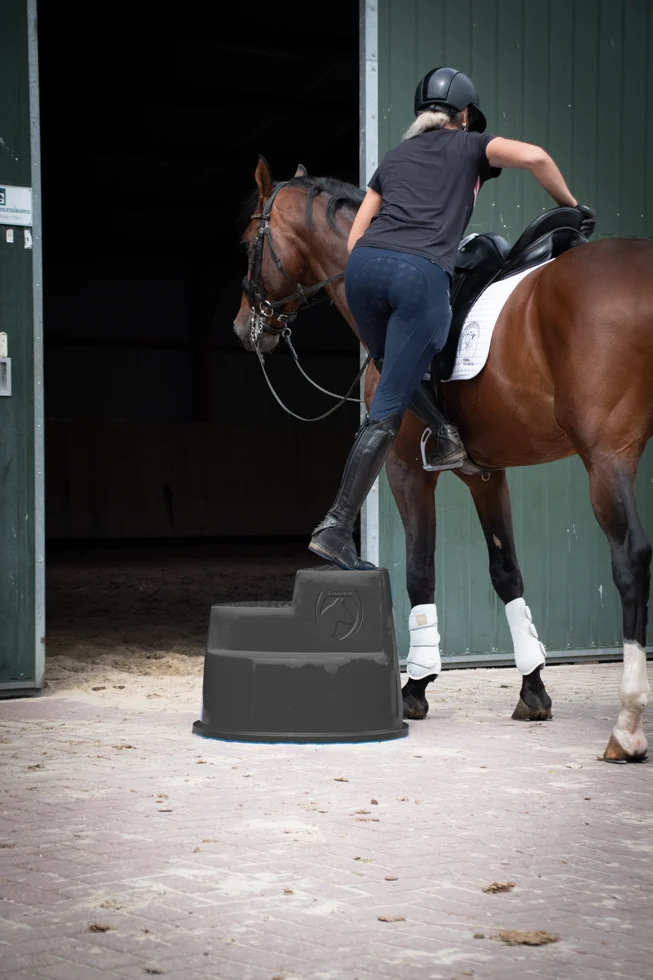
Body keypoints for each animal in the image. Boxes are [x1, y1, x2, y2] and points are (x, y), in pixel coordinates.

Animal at [233, 157, 653, 764]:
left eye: (248, 243)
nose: (245, 327)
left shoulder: (407, 469)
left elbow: (420, 572)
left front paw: (416, 685)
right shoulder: (487, 475)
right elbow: (507, 572)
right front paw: (532, 687)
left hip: (607, 459)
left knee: (630, 561)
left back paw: (627, 724)